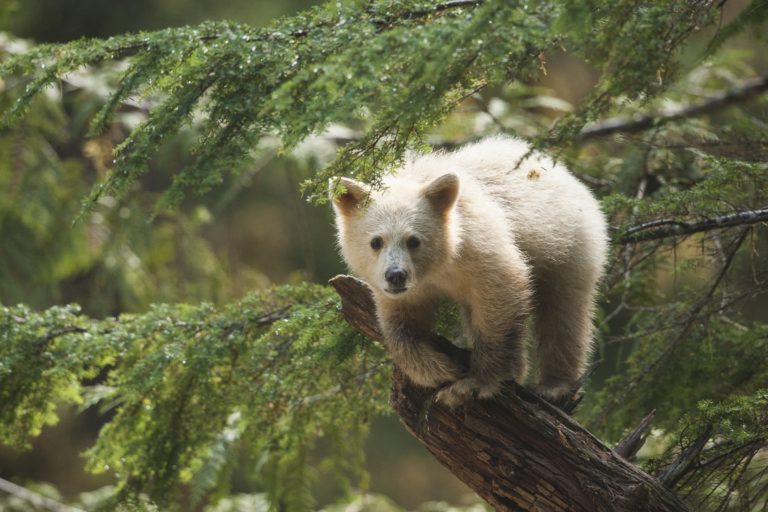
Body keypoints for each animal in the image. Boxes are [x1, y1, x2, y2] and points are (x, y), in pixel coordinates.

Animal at [331, 136, 608, 407]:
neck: (438, 267)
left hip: (569, 243)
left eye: (414, 240)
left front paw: (473, 384)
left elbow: (503, 290)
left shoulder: (478, 245)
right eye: (376, 241)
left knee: (563, 312)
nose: (396, 275)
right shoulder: (404, 291)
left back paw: (553, 387)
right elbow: (401, 326)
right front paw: (439, 369)